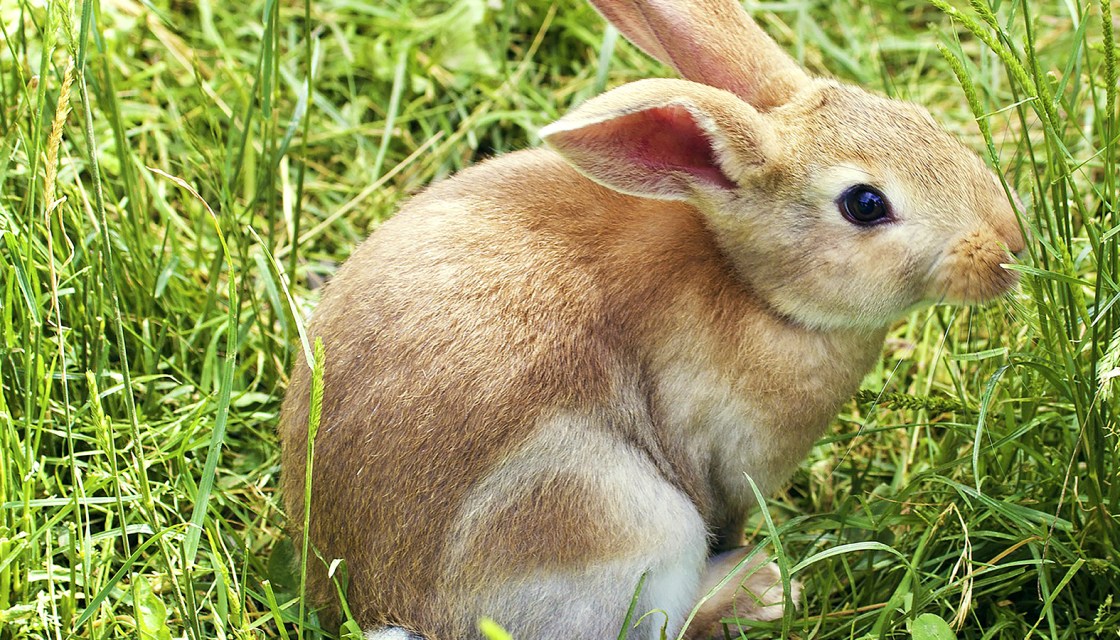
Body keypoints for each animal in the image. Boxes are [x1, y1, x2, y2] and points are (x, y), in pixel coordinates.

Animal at [278, 0, 1026, 638]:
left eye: (917, 117)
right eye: (865, 204)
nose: (1011, 243)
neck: (754, 289)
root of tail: (388, 606)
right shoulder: (721, 460)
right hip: (618, 518)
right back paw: (759, 590)